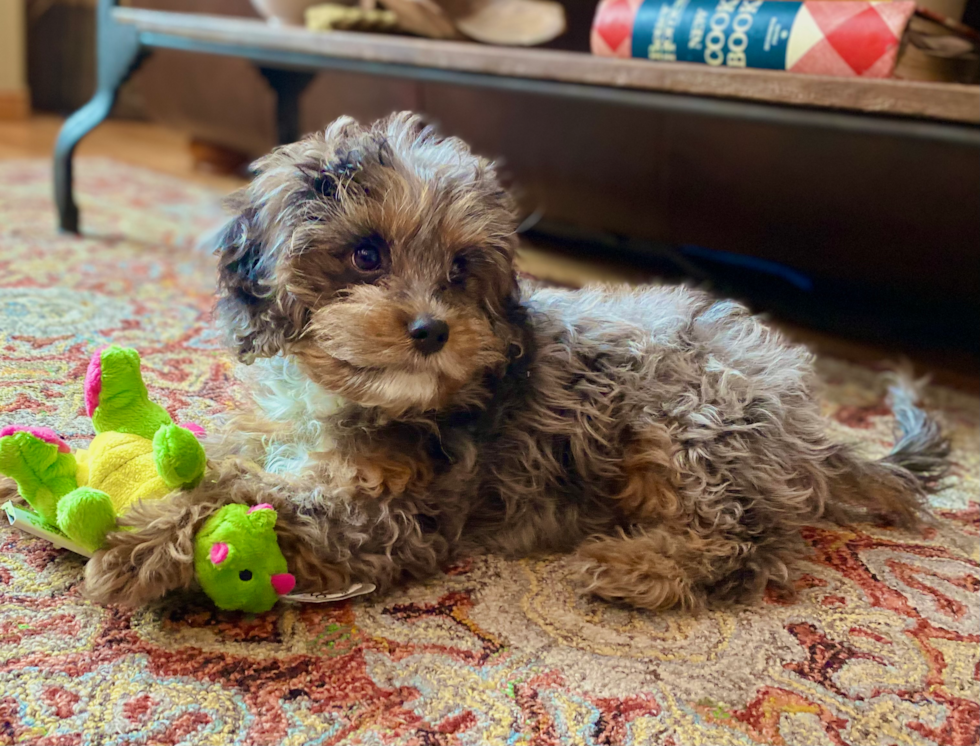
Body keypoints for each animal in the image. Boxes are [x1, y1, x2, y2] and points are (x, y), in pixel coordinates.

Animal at [86, 112, 948, 612]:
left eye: (460, 268)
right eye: (366, 254)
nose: (431, 330)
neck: (341, 395)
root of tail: (812, 428)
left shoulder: (396, 519)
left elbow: (258, 498)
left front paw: (139, 545)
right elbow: (233, 469)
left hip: (696, 420)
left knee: (748, 543)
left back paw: (637, 569)